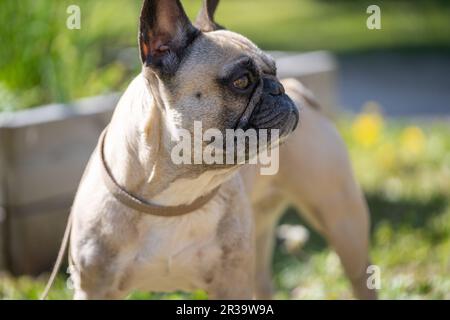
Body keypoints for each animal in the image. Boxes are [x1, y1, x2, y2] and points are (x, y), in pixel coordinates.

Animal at [67, 0, 376, 300]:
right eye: (242, 81)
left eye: (274, 70)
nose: (278, 88)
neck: (175, 197)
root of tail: (299, 89)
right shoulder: (94, 287)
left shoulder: (232, 283)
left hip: (343, 223)